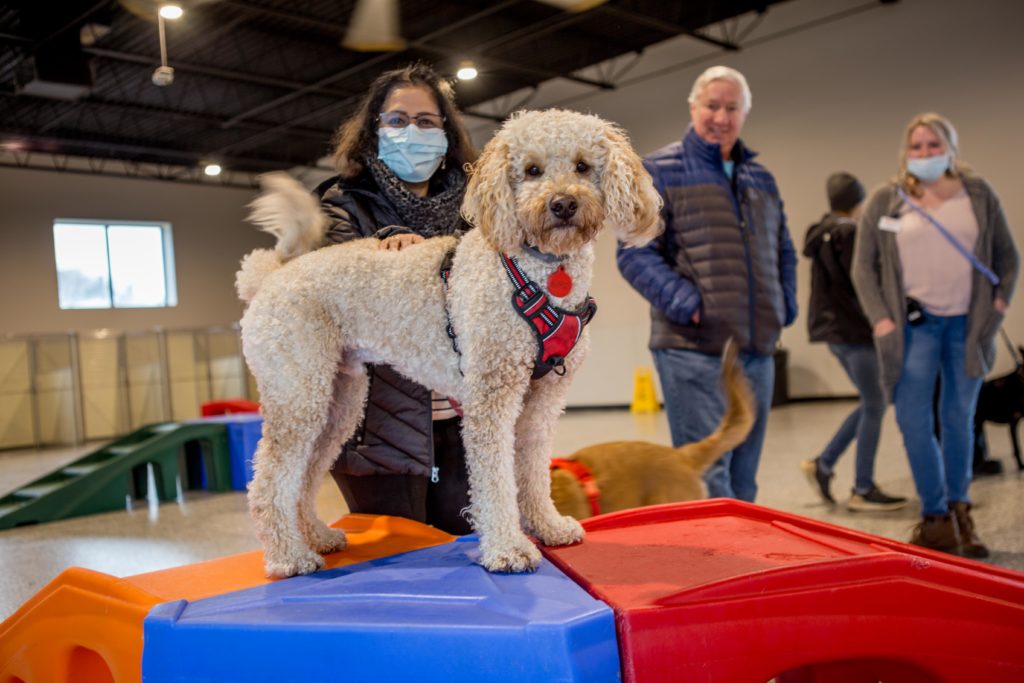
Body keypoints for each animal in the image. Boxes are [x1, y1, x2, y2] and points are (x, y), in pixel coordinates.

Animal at [235, 108, 659, 577]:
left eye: (583, 166)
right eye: (532, 170)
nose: (563, 204)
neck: (537, 270)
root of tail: (269, 276)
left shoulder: (542, 402)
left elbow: (532, 471)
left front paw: (547, 526)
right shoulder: (490, 397)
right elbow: (495, 481)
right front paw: (507, 548)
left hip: (338, 403)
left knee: (305, 477)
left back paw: (317, 536)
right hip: (298, 396)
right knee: (269, 482)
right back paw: (289, 556)